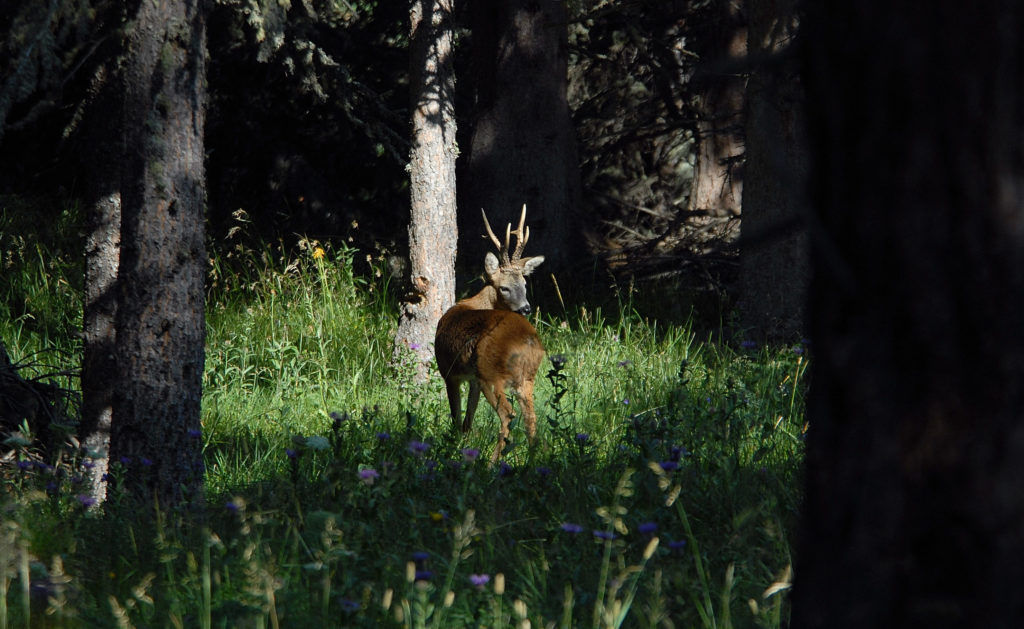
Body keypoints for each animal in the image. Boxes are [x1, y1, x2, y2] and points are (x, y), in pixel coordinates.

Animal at [436, 206, 548, 463]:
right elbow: (468, 419)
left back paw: (491, 463)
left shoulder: (449, 372)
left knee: (509, 415)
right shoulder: (473, 379)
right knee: (531, 418)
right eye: (504, 287)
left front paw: (453, 449)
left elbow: (456, 417)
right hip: (526, 377)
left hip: (491, 373)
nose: (526, 308)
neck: (474, 302)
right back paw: (533, 460)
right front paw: (463, 446)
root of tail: (528, 340)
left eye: (524, 284)